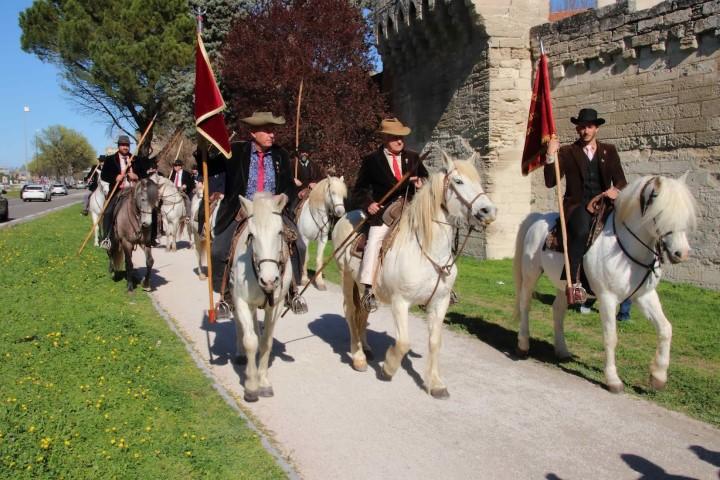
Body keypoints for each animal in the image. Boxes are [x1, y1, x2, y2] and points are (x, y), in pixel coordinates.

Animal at [228, 191, 290, 402]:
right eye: (251, 235)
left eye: (279, 232)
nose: (269, 280)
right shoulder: (241, 301)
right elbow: (251, 341)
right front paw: (251, 385)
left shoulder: (275, 306)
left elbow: (265, 342)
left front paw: (263, 382)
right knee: (240, 325)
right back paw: (240, 354)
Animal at [334, 153, 498, 398]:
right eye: (458, 181)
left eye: (479, 180)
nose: (489, 211)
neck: (427, 251)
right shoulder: (400, 302)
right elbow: (403, 342)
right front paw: (388, 368)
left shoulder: (440, 302)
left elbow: (435, 341)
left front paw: (435, 383)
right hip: (346, 278)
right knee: (352, 313)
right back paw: (359, 357)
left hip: (365, 290)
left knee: (363, 312)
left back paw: (367, 348)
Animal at [516, 174, 700, 392]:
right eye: (661, 212)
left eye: (685, 214)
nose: (682, 253)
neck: (628, 248)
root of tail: (537, 218)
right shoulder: (607, 298)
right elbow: (611, 337)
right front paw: (613, 379)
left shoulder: (644, 295)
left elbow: (665, 329)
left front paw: (658, 376)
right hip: (530, 274)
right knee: (525, 305)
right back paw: (523, 345)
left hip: (564, 284)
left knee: (558, 310)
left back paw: (562, 350)